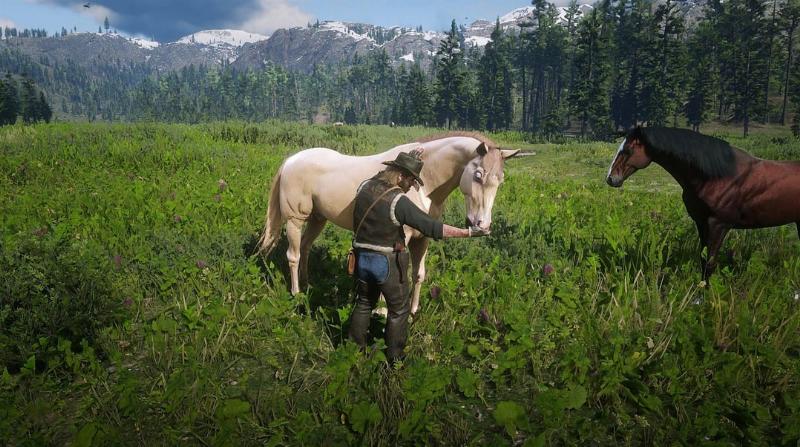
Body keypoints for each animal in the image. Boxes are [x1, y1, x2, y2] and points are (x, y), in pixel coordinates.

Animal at [257, 132, 519, 313]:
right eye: (478, 175)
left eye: (501, 180)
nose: (481, 225)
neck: (425, 184)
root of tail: (291, 160)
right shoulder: (399, 241)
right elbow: (392, 276)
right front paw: (383, 312)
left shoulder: (422, 238)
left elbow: (419, 274)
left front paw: (413, 311)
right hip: (295, 220)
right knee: (293, 255)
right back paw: (296, 293)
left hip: (317, 219)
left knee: (305, 248)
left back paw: (307, 284)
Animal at [606, 126, 800, 280]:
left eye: (627, 151)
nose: (610, 178)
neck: (717, 176)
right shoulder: (702, 223)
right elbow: (702, 258)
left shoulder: (719, 225)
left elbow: (710, 263)